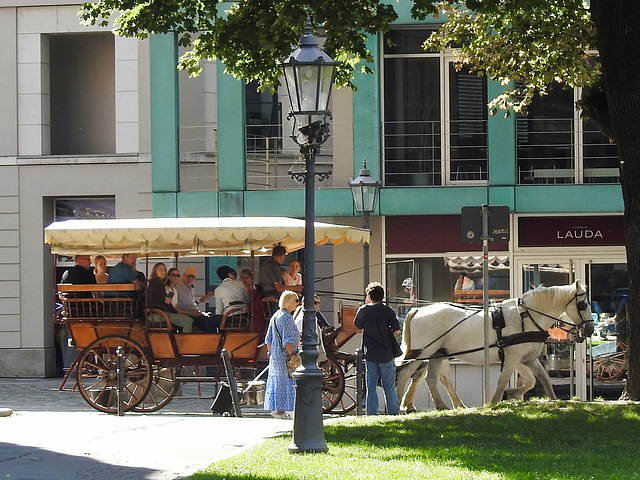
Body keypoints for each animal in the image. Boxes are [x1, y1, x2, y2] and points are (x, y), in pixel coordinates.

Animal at [398, 282, 592, 412]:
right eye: (583, 304)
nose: (589, 328)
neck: (527, 317)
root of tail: (418, 310)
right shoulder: (513, 358)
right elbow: (504, 380)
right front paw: (495, 401)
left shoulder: (528, 359)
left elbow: (541, 379)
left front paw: (552, 400)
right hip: (421, 352)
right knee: (405, 374)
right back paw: (399, 404)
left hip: (436, 353)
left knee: (430, 378)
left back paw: (441, 405)